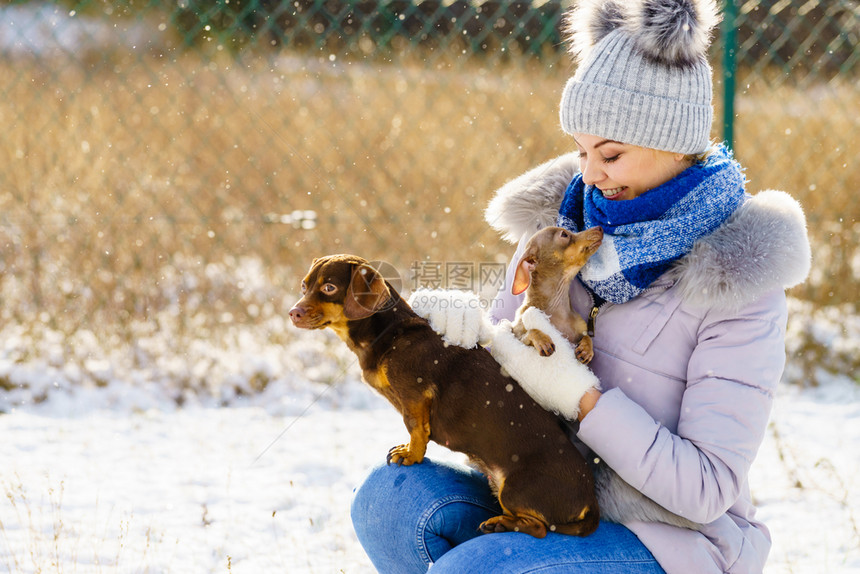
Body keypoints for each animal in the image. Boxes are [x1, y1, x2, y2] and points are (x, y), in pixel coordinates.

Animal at [288, 256, 596, 540]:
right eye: (304, 285)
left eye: (329, 287)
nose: (293, 313)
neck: (388, 333)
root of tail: (591, 504)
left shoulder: (414, 394)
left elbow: (416, 428)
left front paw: (411, 455)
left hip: (515, 490)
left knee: (540, 528)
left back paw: (500, 524)